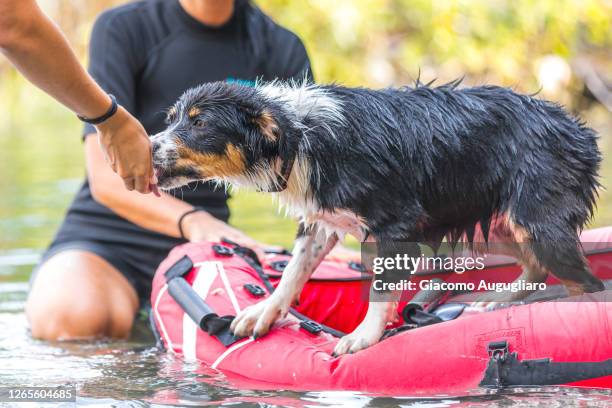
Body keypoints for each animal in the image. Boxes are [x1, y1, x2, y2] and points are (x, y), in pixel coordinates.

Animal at [152, 79, 604, 354]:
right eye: (171, 119)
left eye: (200, 123)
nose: (149, 145)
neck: (299, 136)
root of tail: (581, 130)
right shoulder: (322, 220)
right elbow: (294, 270)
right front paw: (266, 310)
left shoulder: (396, 223)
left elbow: (382, 288)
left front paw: (364, 337)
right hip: (496, 220)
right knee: (536, 268)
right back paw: (495, 303)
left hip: (536, 220)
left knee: (587, 285)